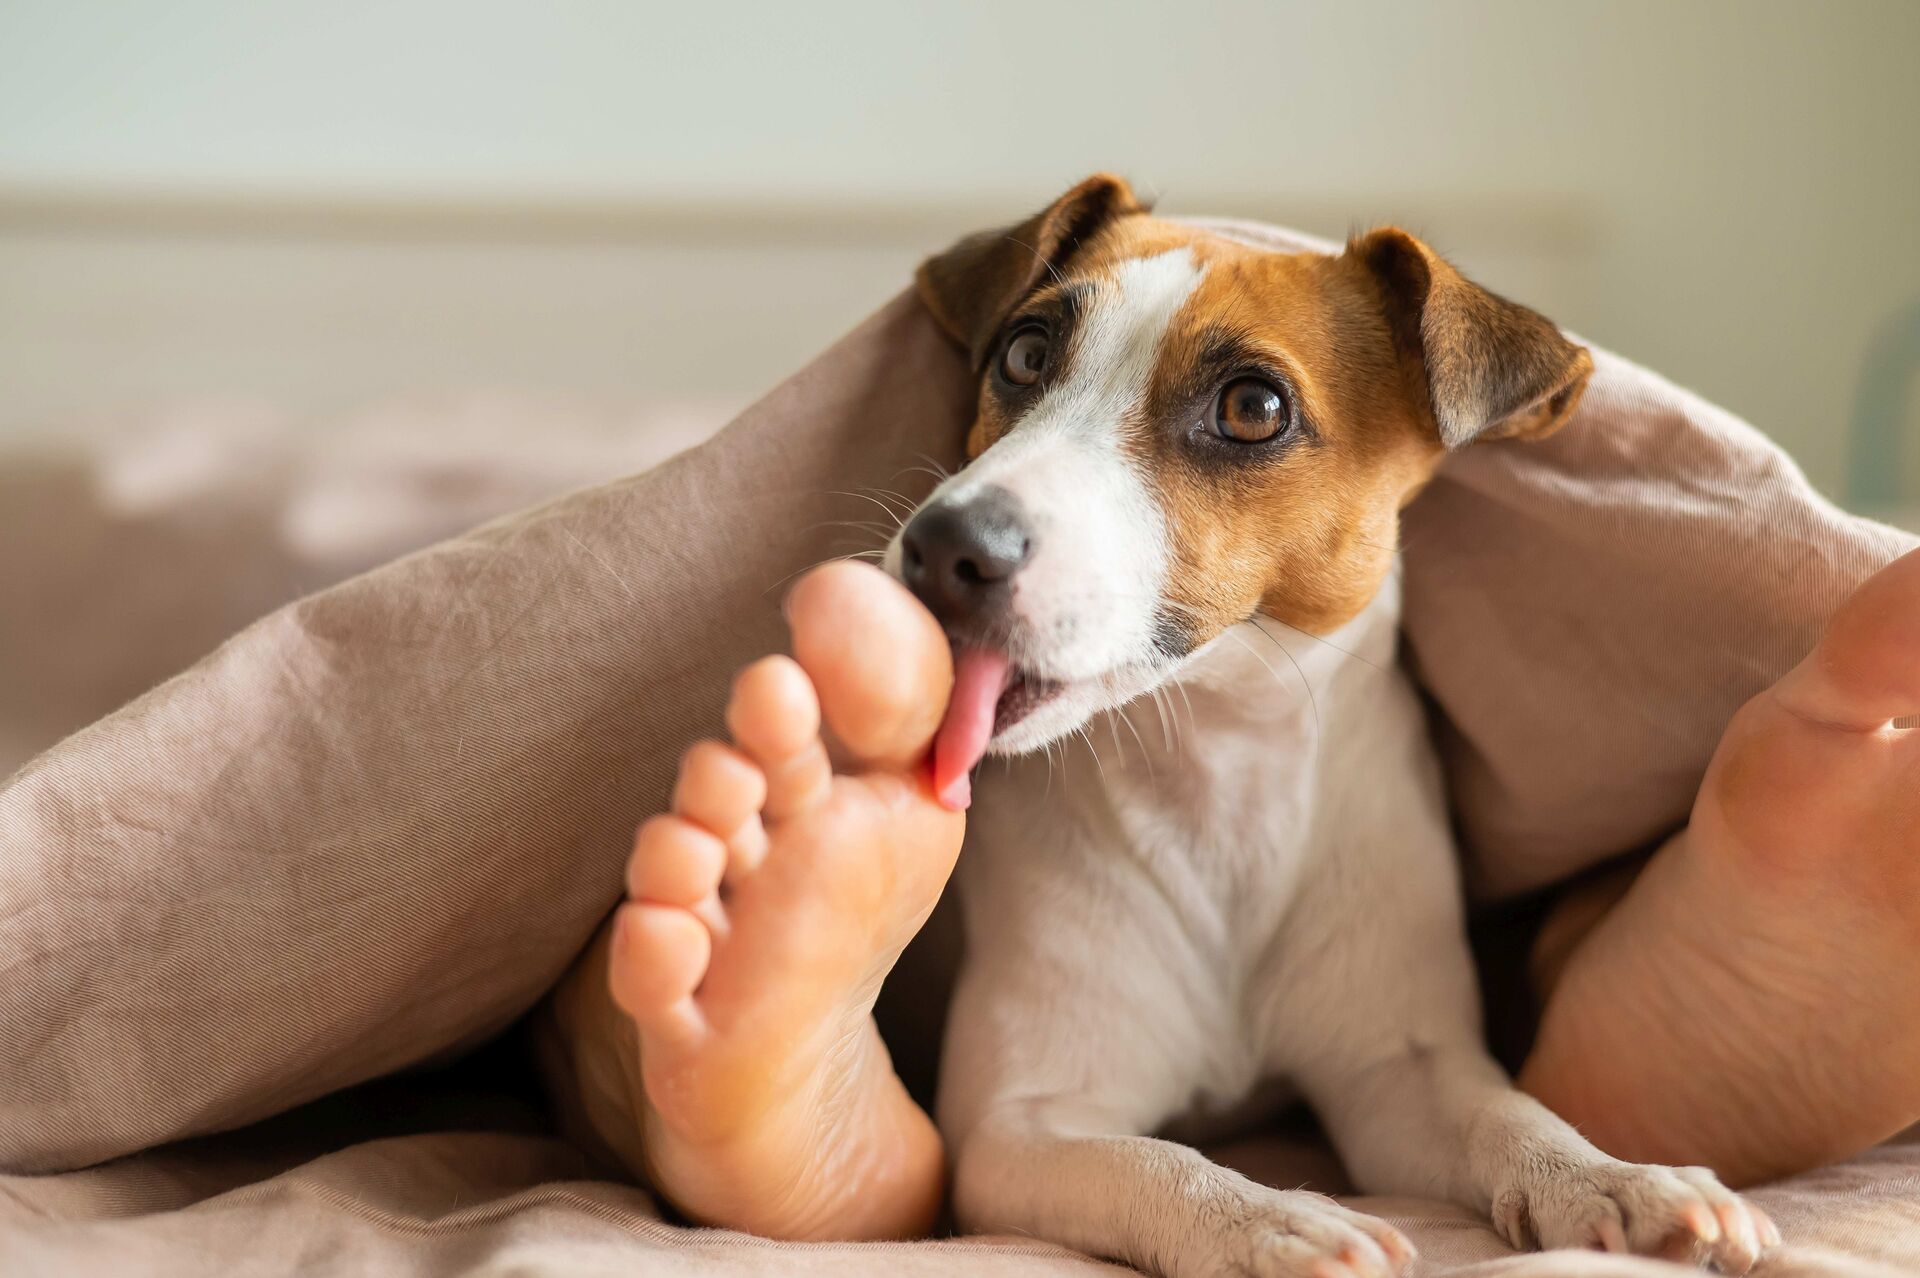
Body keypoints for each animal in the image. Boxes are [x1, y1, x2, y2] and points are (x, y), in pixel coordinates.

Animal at [879, 176, 1766, 1274]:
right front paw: (1267, 1220)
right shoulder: (1017, 1128)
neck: (1219, 777)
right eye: (1026, 353)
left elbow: (1508, 1114)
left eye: (1253, 407)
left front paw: (1614, 1177)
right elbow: (1154, 1164)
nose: (943, 547)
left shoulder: (1399, 1075)